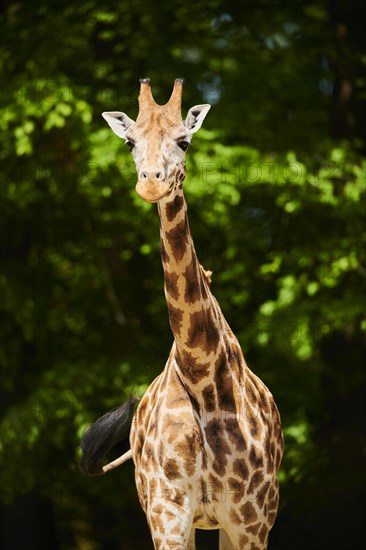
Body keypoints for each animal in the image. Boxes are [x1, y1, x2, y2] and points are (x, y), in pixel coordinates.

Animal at [81, 78, 284, 550]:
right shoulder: (166, 514)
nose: (152, 185)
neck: (201, 372)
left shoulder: (250, 520)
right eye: (130, 143)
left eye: (185, 141)